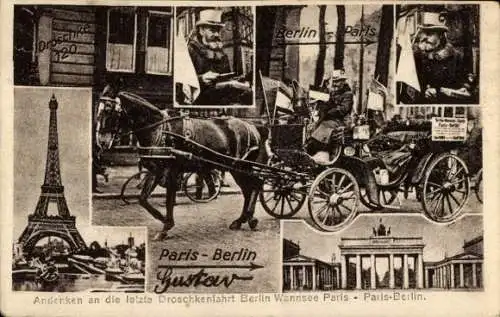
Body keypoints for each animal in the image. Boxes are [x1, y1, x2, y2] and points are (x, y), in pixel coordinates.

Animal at [96, 85, 270, 238]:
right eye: (98, 111)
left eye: (109, 111)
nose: (101, 142)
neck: (159, 130)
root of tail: (254, 127)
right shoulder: (156, 170)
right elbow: (143, 199)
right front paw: (164, 221)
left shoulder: (171, 171)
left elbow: (168, 200)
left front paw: (166, 226)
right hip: (236, 167)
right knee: (249, 189)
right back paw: (242, 220)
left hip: (241, 165)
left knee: (255, 185)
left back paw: (248, 218)